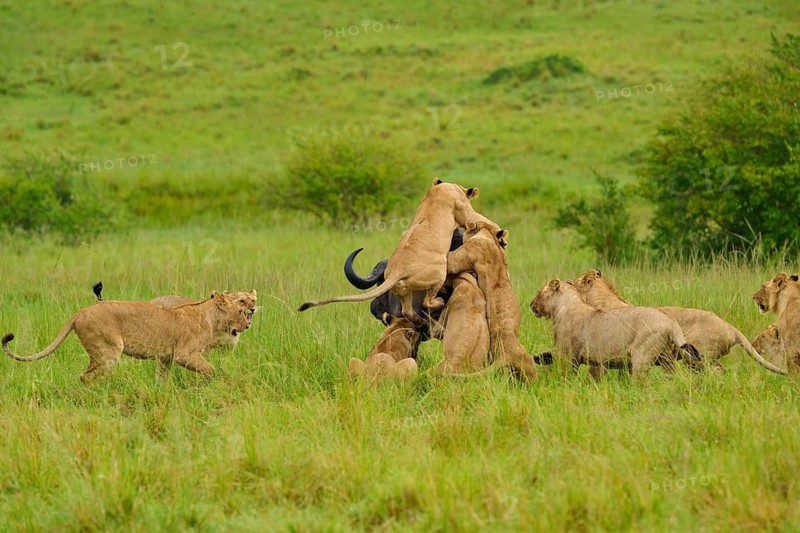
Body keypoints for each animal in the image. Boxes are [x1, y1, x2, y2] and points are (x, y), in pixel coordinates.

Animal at [3, 291, 254, 382]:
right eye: (241, 307)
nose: (248, 324)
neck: (211, 317)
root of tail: (80, 312)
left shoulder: (166, 357)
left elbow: (162, 379)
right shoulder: (185, 354)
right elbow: (210, 369)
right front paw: (214, 382)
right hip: (108, 351)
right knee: (85, 376)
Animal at [299, 177, 481, 326]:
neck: (444, 189)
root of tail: (396, 271)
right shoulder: (465, 211)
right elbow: (474, 220)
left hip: (404, 291)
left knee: (407, 311)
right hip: (439, 272)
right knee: (427, 301)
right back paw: (439, 301)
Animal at [530, 278, 702, 379]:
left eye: (538, 292)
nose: (531, 304)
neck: (561, 308)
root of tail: (671, 321)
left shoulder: (568, 355)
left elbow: (566, 377)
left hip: (641, 357)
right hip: (667, 359)